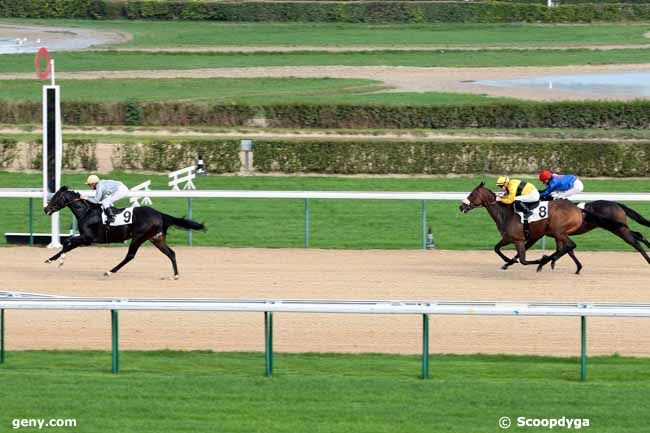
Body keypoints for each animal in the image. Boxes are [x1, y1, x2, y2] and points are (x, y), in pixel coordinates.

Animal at [43, 185, 204, 278]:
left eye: (56, 197)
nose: (45, 209)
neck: (87, 212)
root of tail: (159, 214)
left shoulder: (88, 238)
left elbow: (68, 241)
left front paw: (59, 261)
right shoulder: (85, 238)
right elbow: (68, 244)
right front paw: (51, 259)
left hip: (139, 237)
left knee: (130, 256)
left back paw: (110, 271)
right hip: (156, 238)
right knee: (171, 253)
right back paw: (175, 275)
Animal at [458, 182, 620, 274]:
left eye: (472, 194)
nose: (461, 206)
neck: (506, 213)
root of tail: (578, 209)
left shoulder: (519, 240)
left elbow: (523, 260)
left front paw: (539, 261)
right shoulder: (509, 238)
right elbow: (497, 249)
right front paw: (508, 263)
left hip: (559, 231)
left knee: (570, 245)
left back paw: (549, 260)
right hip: (559, 233)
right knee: (567, 247)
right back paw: (568, 265)